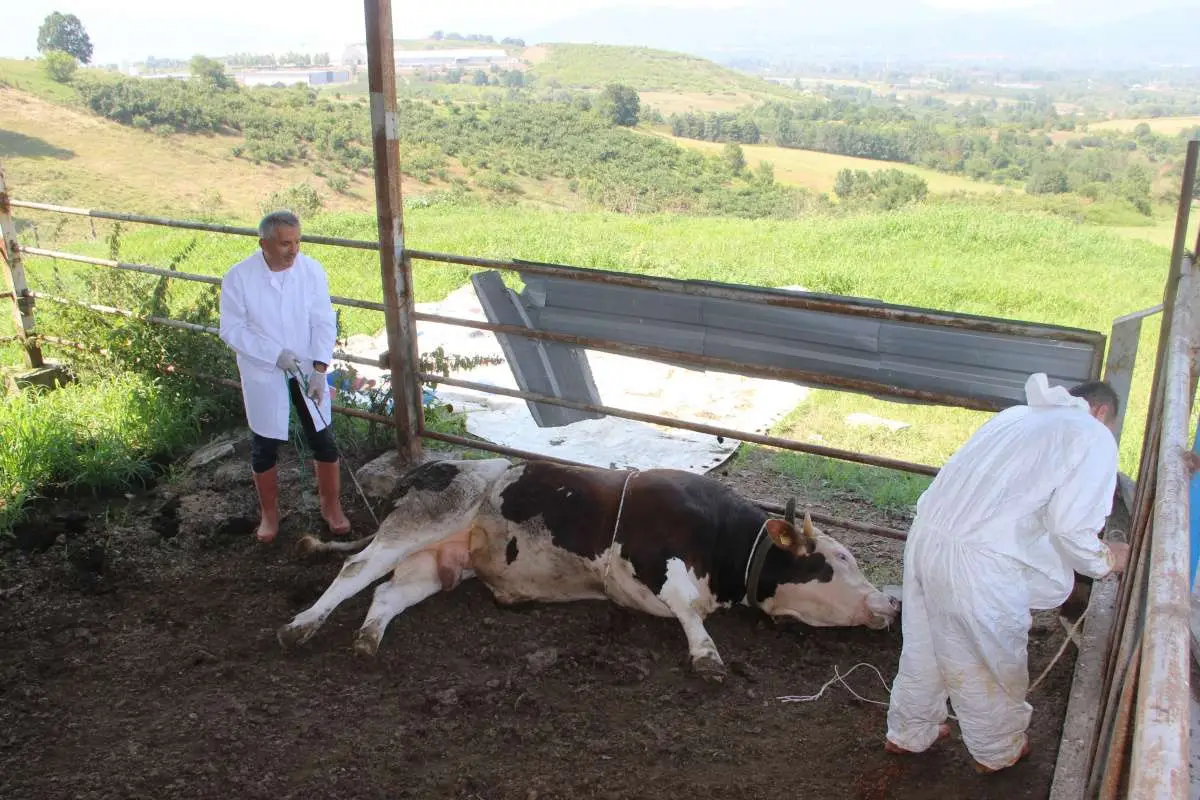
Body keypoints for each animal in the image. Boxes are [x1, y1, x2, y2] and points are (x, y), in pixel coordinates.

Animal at [278, 460, 902, 681]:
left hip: (434, 563)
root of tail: (426, 467)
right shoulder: (653, 556)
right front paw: (706, 656)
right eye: (840, 559)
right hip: (420, 524)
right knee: (357, 568)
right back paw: (301, 627)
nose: (892, 603)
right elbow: (686, 608)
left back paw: (367, 640)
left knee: (386, 594)